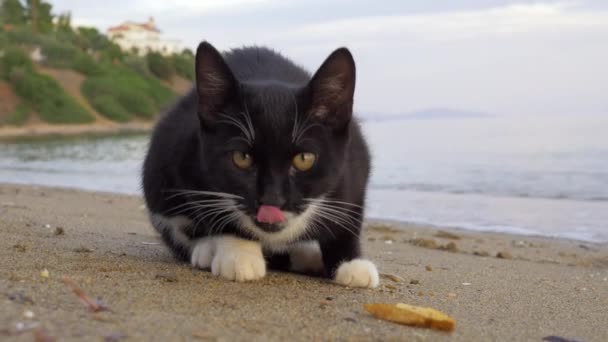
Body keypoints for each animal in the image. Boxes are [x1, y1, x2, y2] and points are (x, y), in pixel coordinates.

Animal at [143, 42, 380, 288]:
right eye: (242, 157)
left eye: (304, 159)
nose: (272, 200)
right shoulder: (186, 155)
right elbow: (213, 214)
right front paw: (240, 253)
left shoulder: (356, 164)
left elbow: (350, 214)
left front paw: (350, 262)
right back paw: (206, 250)